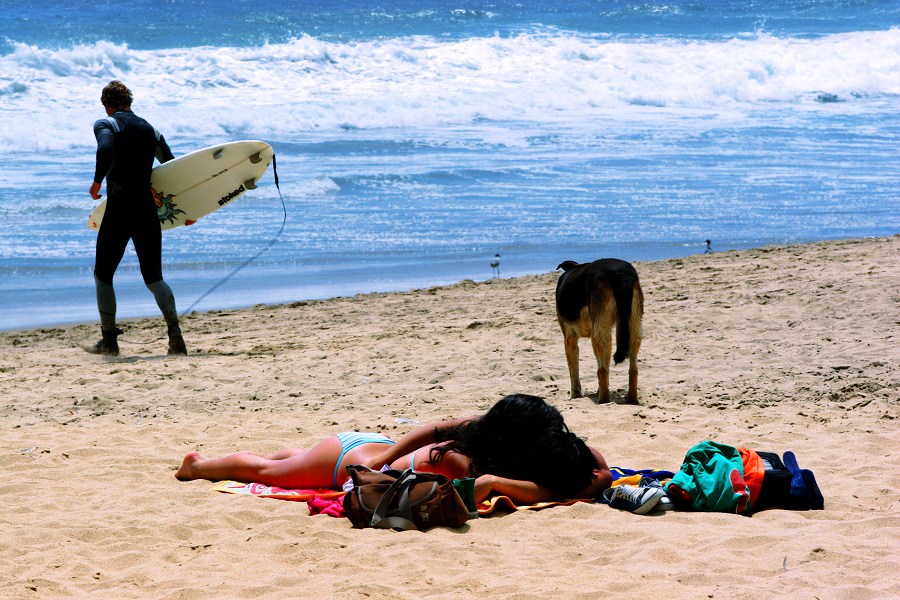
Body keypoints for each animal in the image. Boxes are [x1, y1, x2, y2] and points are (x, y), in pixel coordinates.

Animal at [552, 258, 644, 404]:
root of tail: (621, 275)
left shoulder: (569, 339)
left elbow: (574, 372)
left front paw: (575, 395)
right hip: (633, 324)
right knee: (633, 368)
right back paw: (631, 398)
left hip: (599, 331)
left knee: (602, 370)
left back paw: (603, 399)